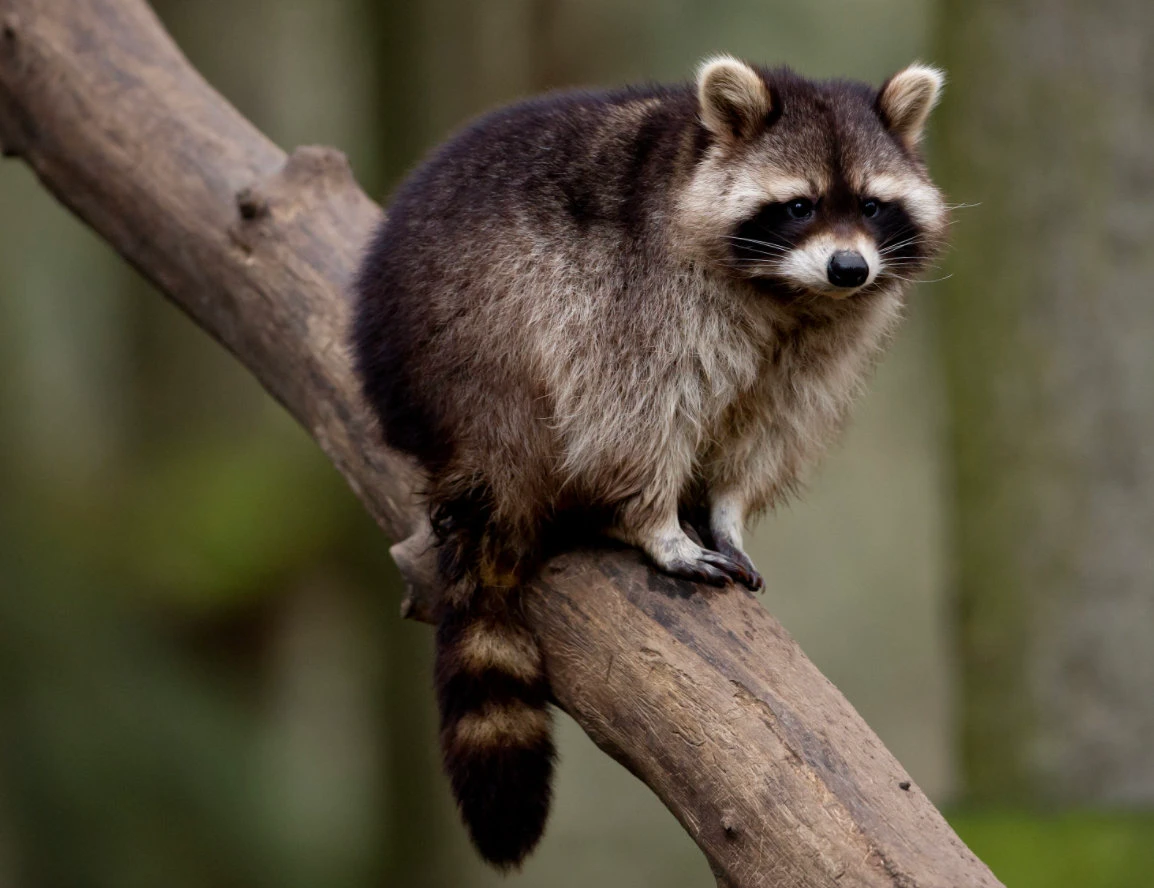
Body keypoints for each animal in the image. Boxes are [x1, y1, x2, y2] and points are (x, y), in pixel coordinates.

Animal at [353, 56, 947, 868]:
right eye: (799, 206)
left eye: (872, 205)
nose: (849, 267)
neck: (790, 293)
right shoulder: (643, 294)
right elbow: (633, 412)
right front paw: (656, 522)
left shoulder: (816, 346)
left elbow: (763, 429)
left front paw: (727, 509)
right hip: (481, 336)